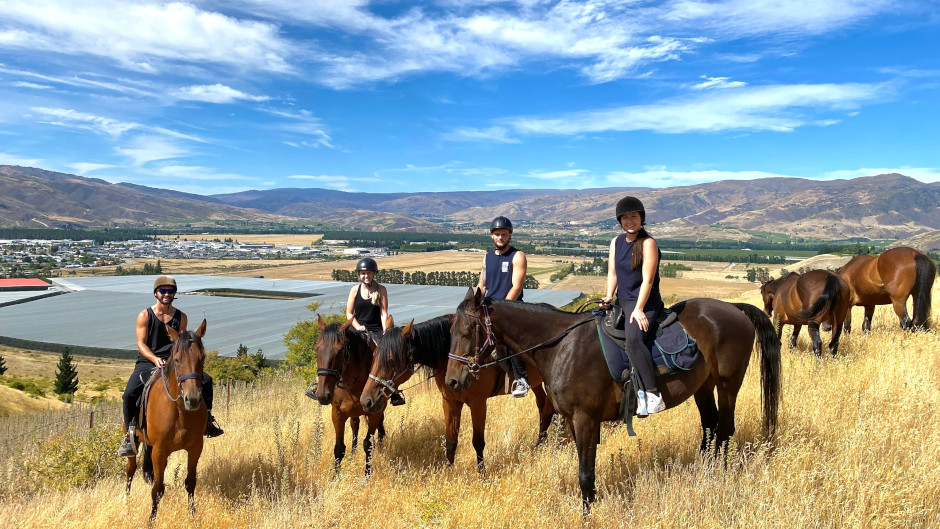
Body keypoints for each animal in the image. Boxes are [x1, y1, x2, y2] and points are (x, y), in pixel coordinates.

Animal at [125, 318, 207, 520]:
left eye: (202, 358)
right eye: (177, 359)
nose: (193, 399)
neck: (180, 411)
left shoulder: (195, 448)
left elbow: (190, 483)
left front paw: (192, 517)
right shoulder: (159, 451)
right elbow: (157, 489)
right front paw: (151, 520)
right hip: (134, 444)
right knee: (130, 471)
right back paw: (126, 504)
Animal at [312, 314, 386, 474]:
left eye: (340, 350)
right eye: (316, 349)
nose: (322, 395)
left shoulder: (374, 412)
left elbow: (368, 444)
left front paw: (367, 475)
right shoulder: (338, 414)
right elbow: (339, 448)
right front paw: (335, 476)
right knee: (355, 425)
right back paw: (353, 453)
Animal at [358, 314, 552, 470]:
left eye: (391, 360)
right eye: (373, 355)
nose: (366, 401)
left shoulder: (478, 404)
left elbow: (478, 442)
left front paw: (482, 475)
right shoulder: (450, 402)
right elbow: (451, 441)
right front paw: (448, 473)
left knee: (548, 411)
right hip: (536, 383)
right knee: (542, 407)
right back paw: (540, 444)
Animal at [444, 288, 784, 512]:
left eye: (468, 331)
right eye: (450, 331)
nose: (452, 381)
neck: (561, 346)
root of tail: (733, 308)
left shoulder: (585, 418)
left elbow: (585, 473)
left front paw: (587, 516)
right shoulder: (573, 421)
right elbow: (587, 469)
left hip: (728, 384)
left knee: (725, 430)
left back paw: (718, 475)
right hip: (704, 385)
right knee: (710, 426)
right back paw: (702, 471)